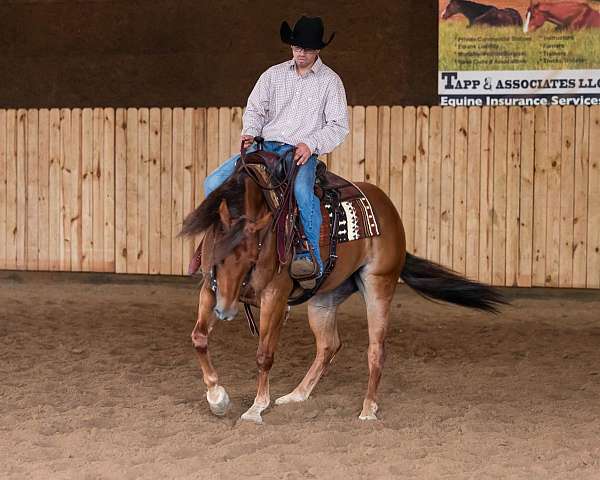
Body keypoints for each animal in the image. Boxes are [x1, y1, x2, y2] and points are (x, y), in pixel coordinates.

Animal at [179, 164, 506, 424]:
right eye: (217, 256)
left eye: (252, 258)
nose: (226, 312)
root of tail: (388, 209)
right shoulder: (210, 291)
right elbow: (198, 338)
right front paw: (217, 398)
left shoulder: (275, 297)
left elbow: (264, 355)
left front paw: (256, 408)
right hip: (323, 299)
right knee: (329, 345)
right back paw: (297, 395)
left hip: (378, 285)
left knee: (375, 349)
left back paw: (368, 409)